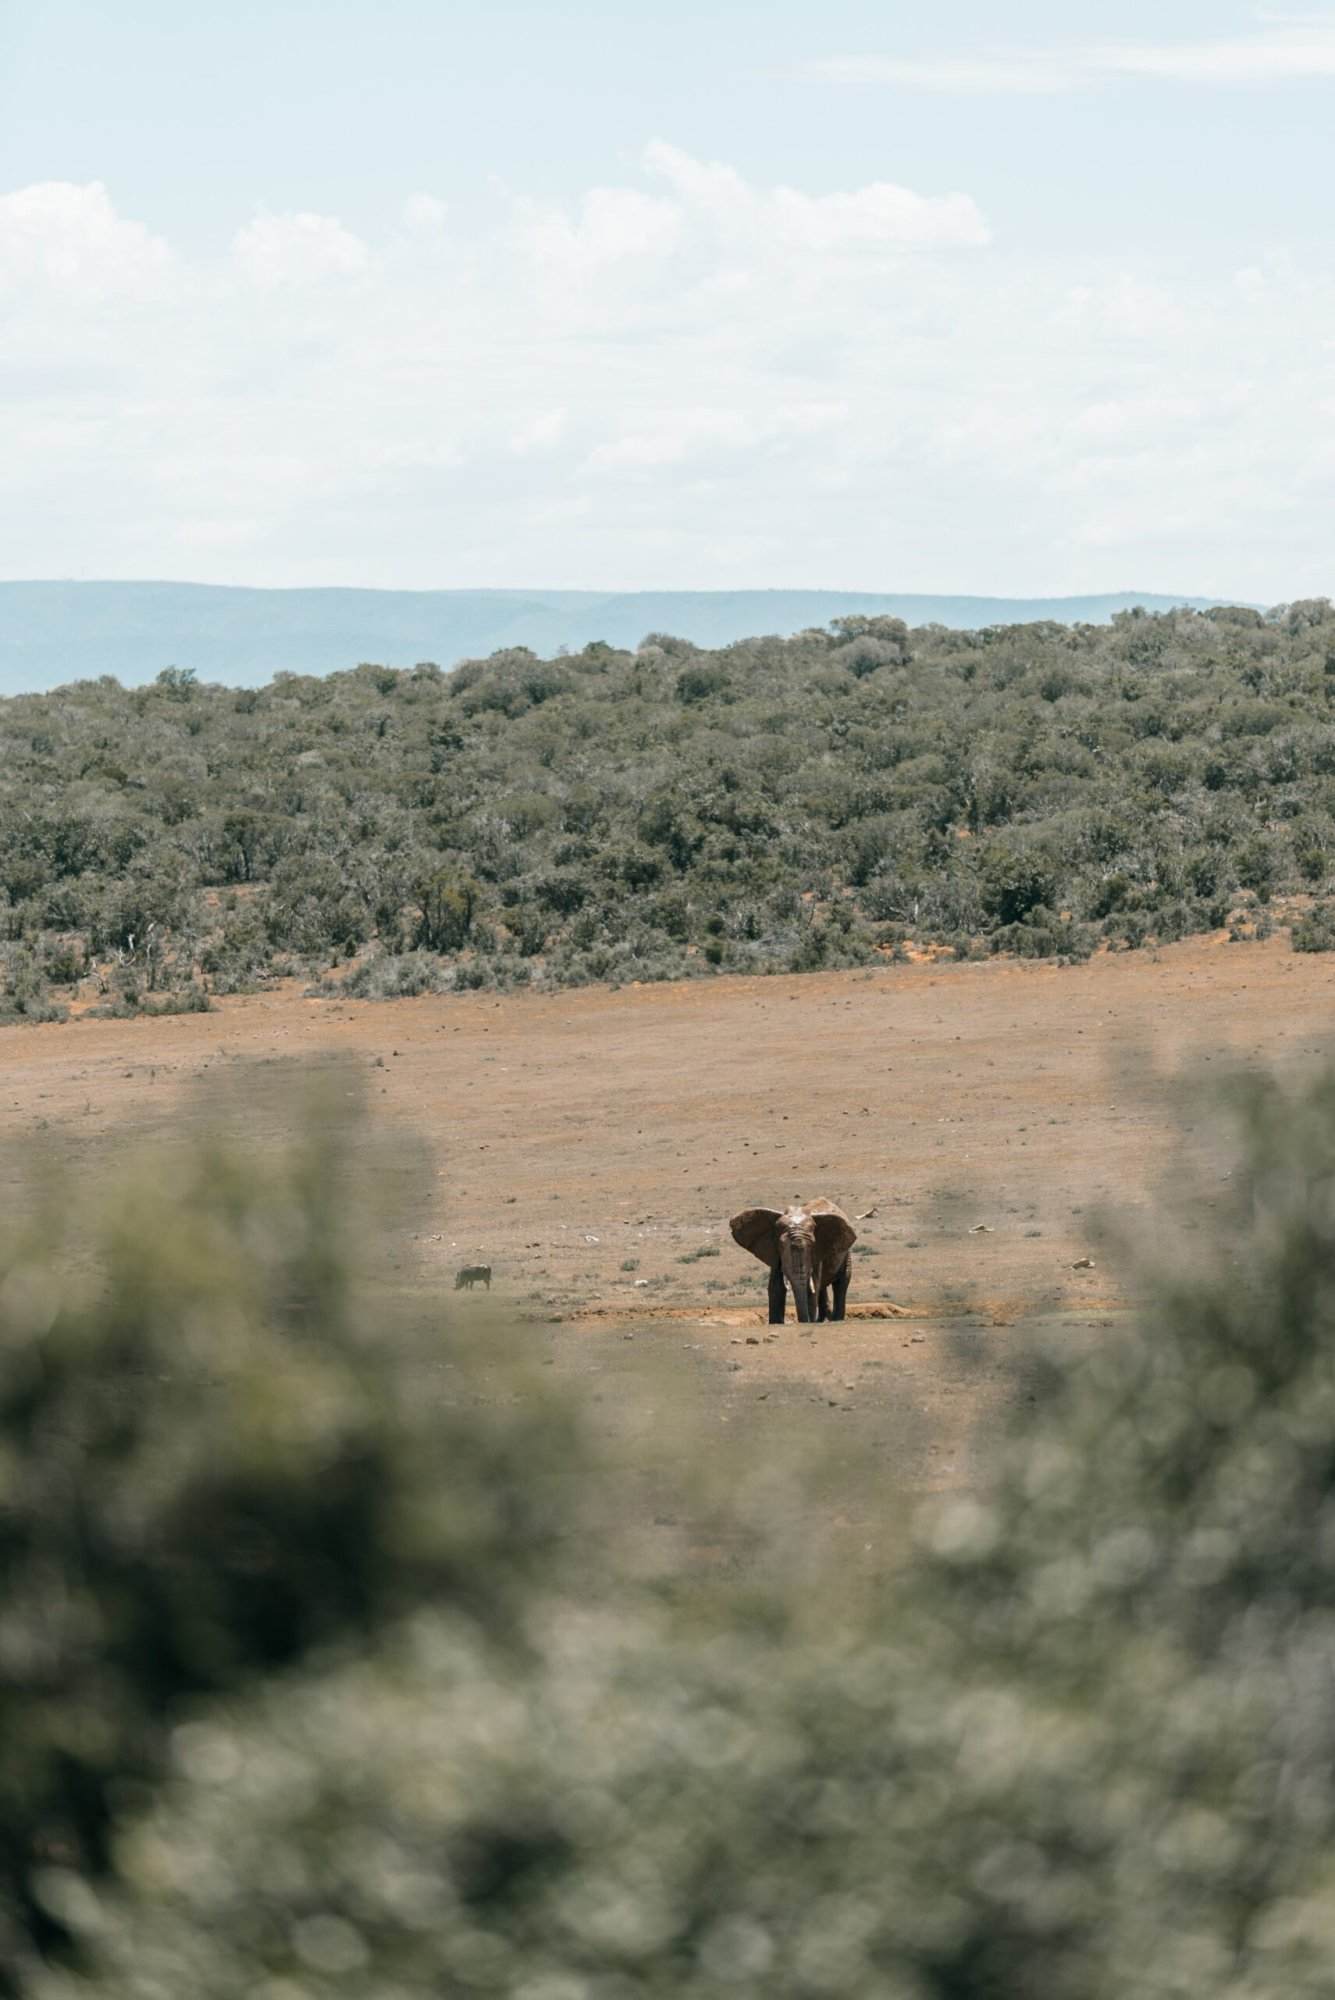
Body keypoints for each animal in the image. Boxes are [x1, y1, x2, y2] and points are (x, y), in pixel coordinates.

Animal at [731, 1200, 855, 1328]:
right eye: (781, 1245)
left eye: (812, 1245)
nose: (805, 1321)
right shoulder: (775, 1252)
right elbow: (776, 1285)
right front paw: (776, 1322)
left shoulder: (818, 1252)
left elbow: (813, 1285)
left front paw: (809, 1321)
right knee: (823, 1288)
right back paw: (821, 1320)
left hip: (846, 1253)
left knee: (841, 1282)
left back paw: (835, 1319)